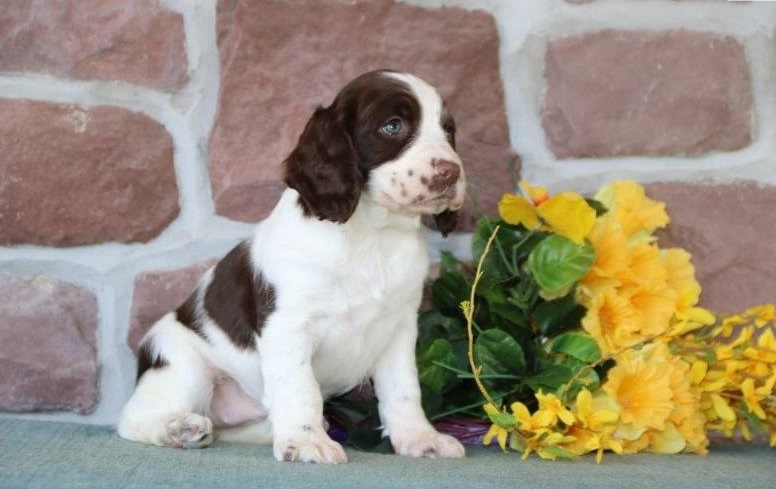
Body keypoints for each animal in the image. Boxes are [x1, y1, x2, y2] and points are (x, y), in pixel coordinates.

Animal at [116, 68, 466, 462]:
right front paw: (305, 442)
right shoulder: (288, 326)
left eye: (448, 130)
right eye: (393, 126)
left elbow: (403, 389)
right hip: (180, 362)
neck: (374, 235)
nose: (451, 173)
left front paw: (420, 438)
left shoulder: (399, 328)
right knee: (133, 418)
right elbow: (300, 387)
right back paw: (179, 429)